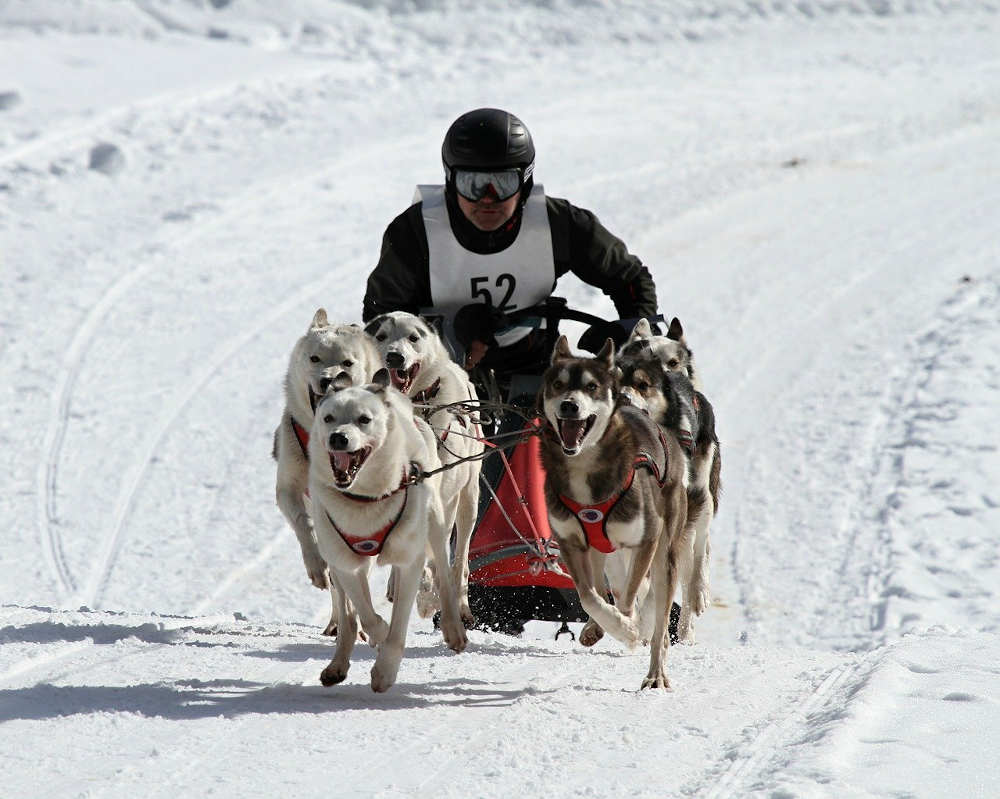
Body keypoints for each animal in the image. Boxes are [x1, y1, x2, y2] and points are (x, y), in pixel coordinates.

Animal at [272, 310, 380, 636]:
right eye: (315, 358)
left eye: (347, 362)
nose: (329, 379)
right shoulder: (288, 489)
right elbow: (303, 524)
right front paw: (315, 566)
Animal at [308, 376, 468, 692]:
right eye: (328, 418)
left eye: (364, 419)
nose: (338, 438)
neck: (364, 500)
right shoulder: (345, 563)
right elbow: (366, 616)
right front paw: (378, 633)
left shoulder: (409, 562)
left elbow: (398, 628)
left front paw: (385, 670)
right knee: (347, 616)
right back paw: (338, 664)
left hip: (437, 525)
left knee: (445, 577)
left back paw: (453, 628)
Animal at [364, 310, 484, 624]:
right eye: (381, 335)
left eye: (413, 337)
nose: (394, 357)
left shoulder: (444, 500)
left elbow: (436, 554)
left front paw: (429, 595)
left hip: (468, 500)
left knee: (460, 558)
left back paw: (458, 602)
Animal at [540, 336, 688, 688]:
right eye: (558, 384)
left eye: (591, 386)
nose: (569, 405)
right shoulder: (570, 542)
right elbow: (589, 596)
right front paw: (600, 625)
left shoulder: (646, 540)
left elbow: (628, 600)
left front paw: (628, 629)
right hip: (600, 551)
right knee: (602, 584)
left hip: (665, 553)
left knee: (657, 617)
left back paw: (655, 673)